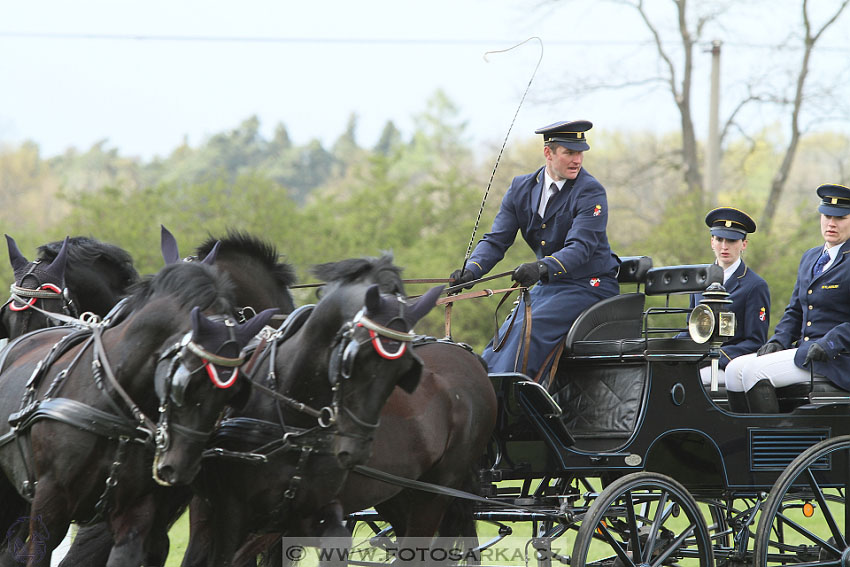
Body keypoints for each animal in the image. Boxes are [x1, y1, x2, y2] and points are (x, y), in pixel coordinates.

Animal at [0, 260, 274, 567]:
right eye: (184, 384)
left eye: (233, 392)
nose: (180, 467)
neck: (113, 401)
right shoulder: (49, 505)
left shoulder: (136, 514)